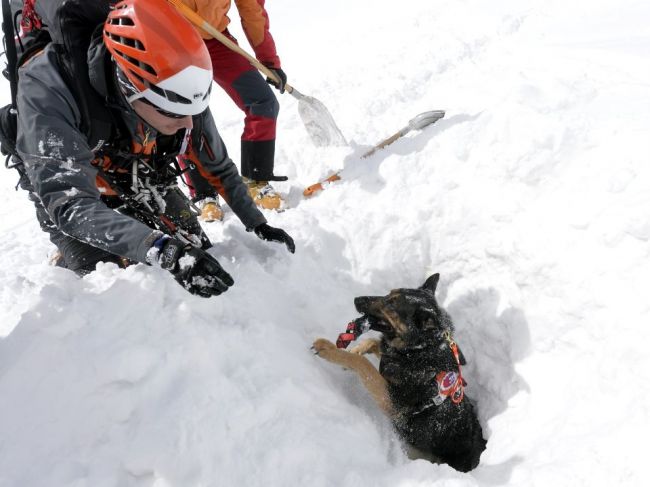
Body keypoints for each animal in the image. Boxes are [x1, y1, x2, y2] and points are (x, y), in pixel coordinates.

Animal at [312, 274, 484, 472]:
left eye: (392, 305)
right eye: (388, 294)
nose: (357, 299)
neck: (421, 350)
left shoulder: (391, 402)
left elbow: (364, 364)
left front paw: (330, 350)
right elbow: (374, 344)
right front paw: (355, 350)